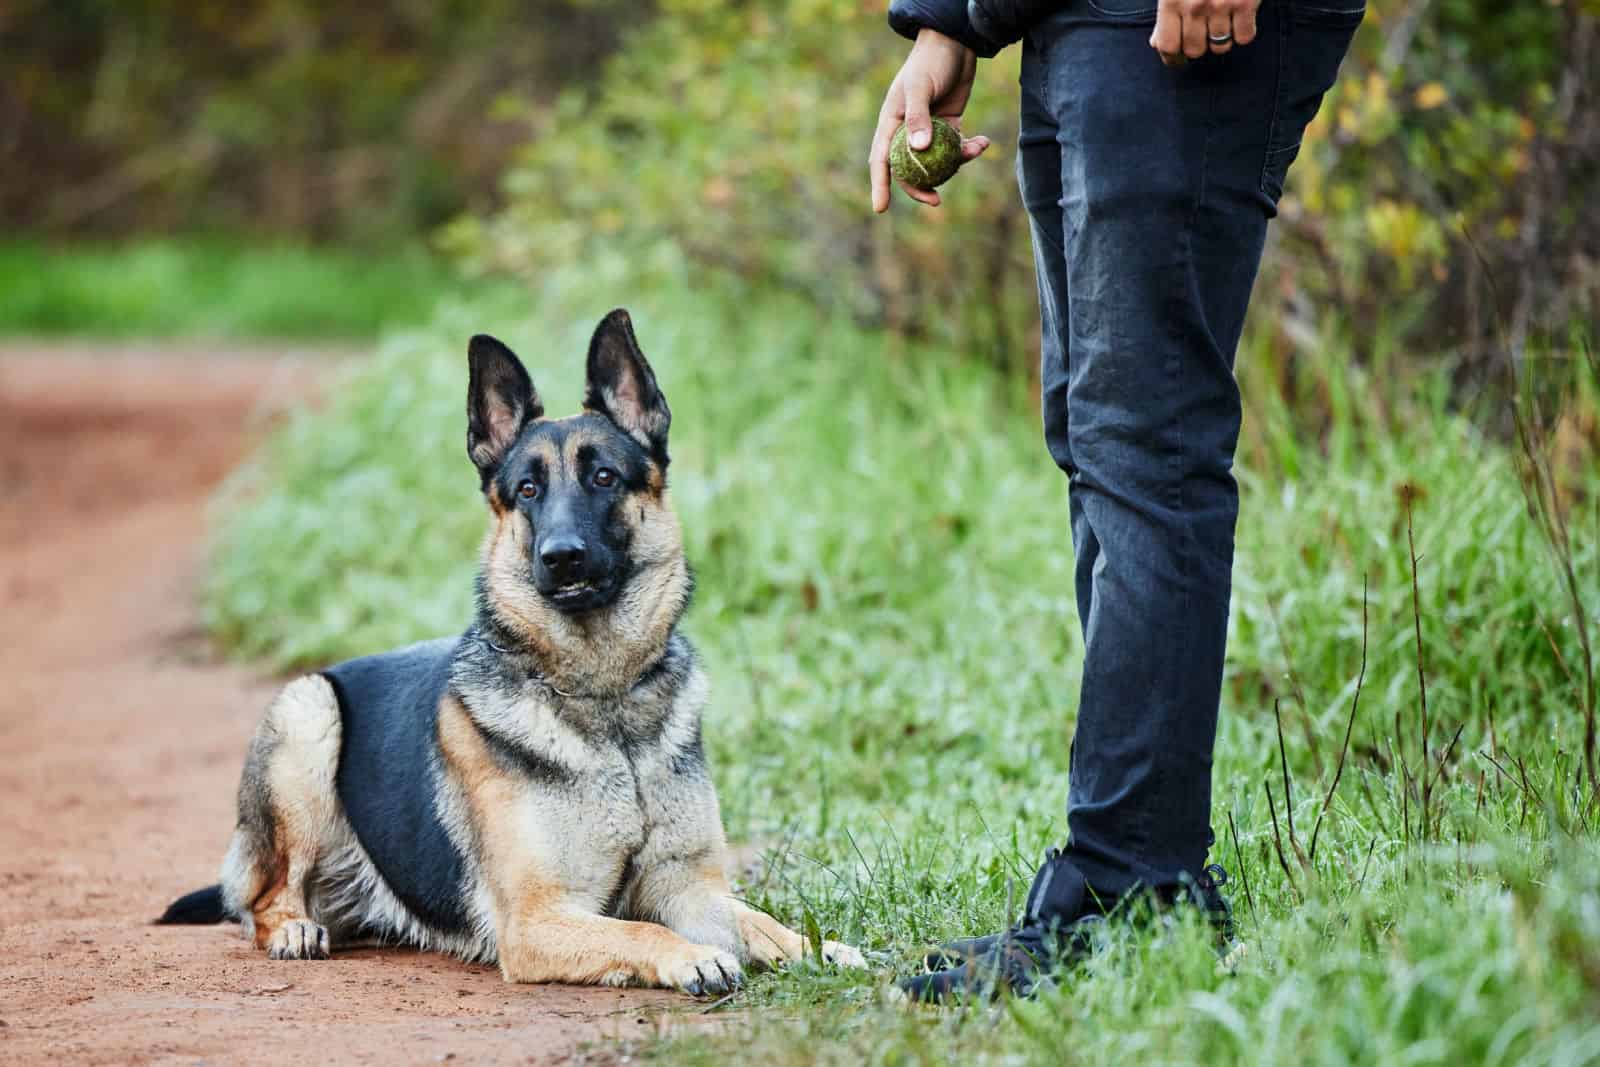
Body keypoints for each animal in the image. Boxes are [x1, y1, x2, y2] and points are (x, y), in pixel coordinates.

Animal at [152, 313, 864, 998]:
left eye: (604, 477)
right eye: (526, 490)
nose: (561, 556)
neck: (603, 701)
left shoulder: (689, 886)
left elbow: (759, 921)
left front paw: (820, 949)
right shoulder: (537, 919)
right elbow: (641, 930)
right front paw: (692, 957)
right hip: (308, 711)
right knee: (262, 900)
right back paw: (293, 928)